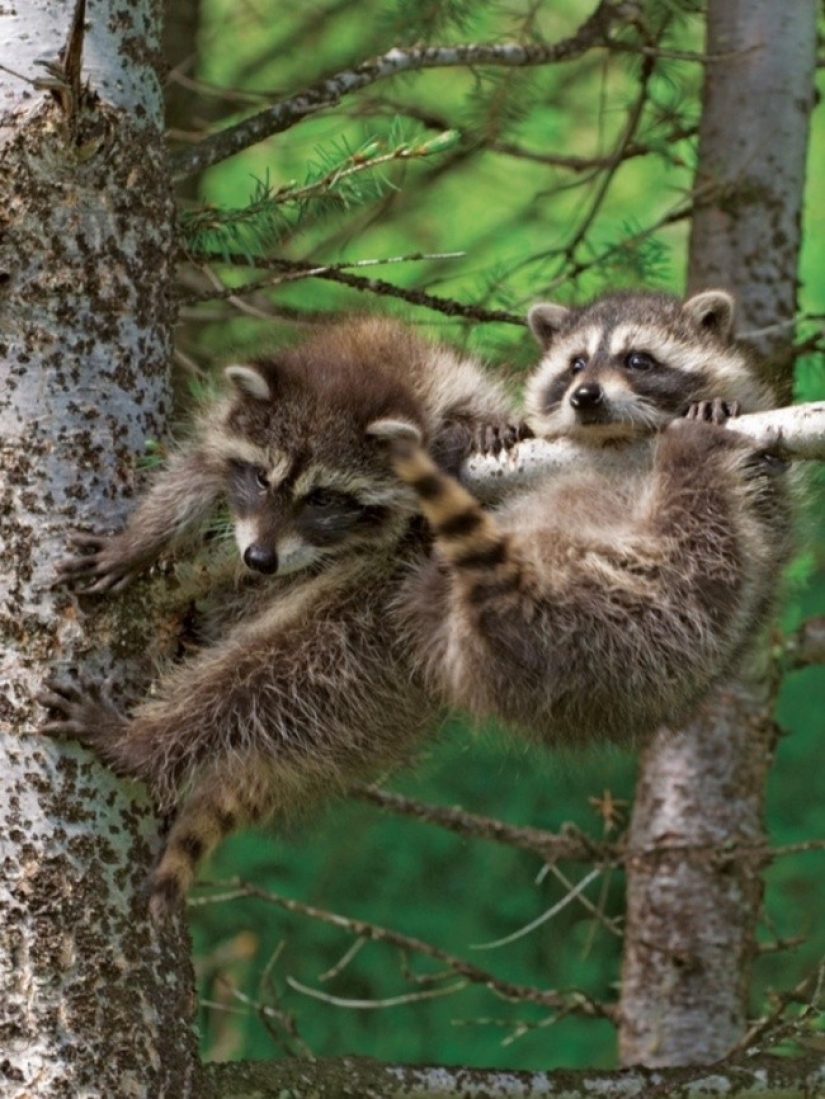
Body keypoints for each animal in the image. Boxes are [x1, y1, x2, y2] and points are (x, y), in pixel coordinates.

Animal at [41, 317, 516, 920]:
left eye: (324, 499)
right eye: (262, 479)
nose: (260, 559)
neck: (359, 371)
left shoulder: (440, 379)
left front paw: (476, 427)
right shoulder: (234, 426)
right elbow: (194, 471)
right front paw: (139, 542)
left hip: (379, 643)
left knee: (272, 674)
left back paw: (142, 744)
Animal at [374, 290, 794, 744]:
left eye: (638, 360)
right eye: (576, 364)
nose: (585, 395)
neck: (616, 439)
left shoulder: (767, 488)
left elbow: (761, 494)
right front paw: (500, 428)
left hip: (658, 615)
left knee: (700, 529)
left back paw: (691, 454)